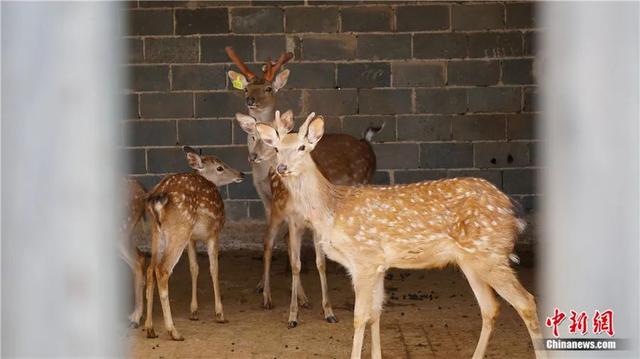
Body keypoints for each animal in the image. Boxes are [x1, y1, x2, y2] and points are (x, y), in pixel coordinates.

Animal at [144, 146, 244, 340]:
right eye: (220, 167)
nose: (241, 173)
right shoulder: (214, 232)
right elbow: (214, 269)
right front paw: (220, 314)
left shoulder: (191, 239)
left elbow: (194, 268)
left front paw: (194, 312)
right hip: (180, 228)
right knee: (162, 269)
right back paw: (173, 331)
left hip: (156, 232)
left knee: (150, 268)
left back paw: (150, 328)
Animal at [228, 47, 382, 330]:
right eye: (246, 87)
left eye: (268, 88)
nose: (250, 100)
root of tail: (366, 143)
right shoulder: (268, 202)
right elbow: (274, 243)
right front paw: (267, 290)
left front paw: (305, 300)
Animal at [258, 112, 548, 359]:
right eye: (277, 148)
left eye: (302, 148)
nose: (281, 167)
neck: (333, 209)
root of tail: (514, 210)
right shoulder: (377, 264)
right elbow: (376, 313)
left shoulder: (364, 258)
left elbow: (360, 317)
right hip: (472, 260)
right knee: (490, 308)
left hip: (491, 255)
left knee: (526, 302)